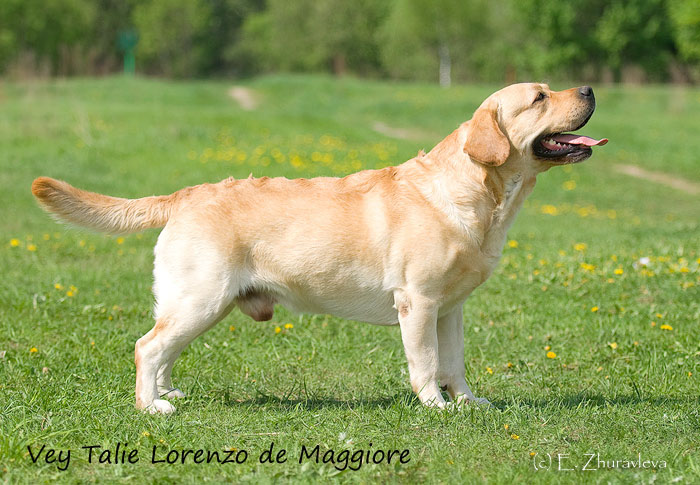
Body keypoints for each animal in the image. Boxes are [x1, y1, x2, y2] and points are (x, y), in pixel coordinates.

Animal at [30, 82, 604, 412]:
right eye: (539, 98)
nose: (590, 87)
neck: (477, 195)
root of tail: (185, 195)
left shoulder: (451, 308)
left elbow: (455, 362)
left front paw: (468, 403)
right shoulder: (418, 303)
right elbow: (425, 362)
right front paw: (435, 407)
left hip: (199, 303)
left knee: (162, 347)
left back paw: (167, 392)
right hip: (202, 298)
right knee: (146, 347)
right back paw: (152, 408)